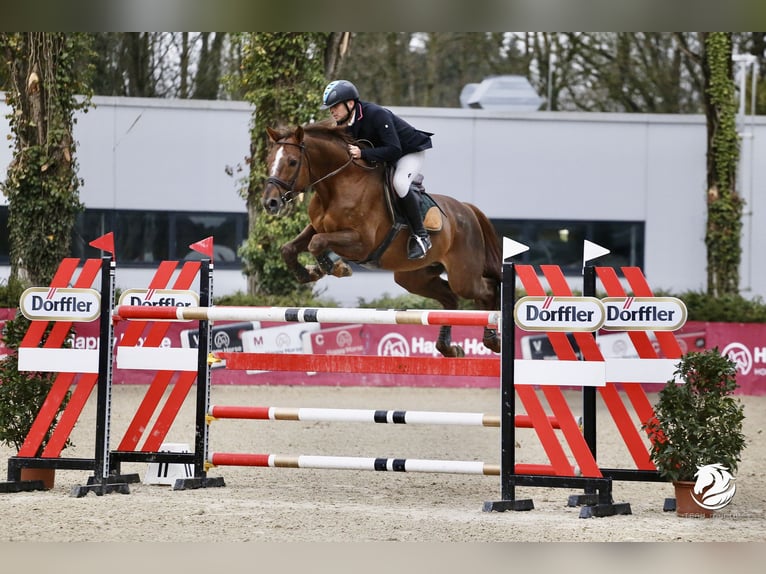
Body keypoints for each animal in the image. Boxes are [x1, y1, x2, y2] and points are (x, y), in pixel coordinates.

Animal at [264, 123, 504, 358]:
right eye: (268, 161)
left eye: (292, 161)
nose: (270, 203)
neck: (339, 186)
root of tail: (467, 209)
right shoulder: (317, 227)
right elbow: (290, 248)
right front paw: (308, 273)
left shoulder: (362, 243)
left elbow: (317, 243)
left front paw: (335, 268)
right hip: (413, 277)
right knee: (450, 298)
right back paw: (448, 347)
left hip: (463, 276)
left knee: (487, 290)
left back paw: (492, 340)